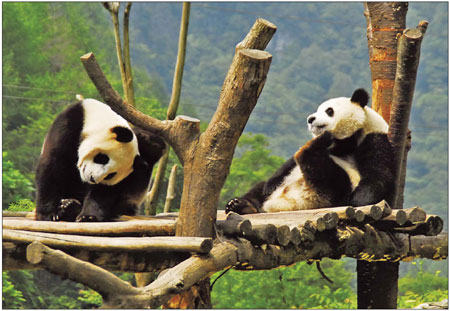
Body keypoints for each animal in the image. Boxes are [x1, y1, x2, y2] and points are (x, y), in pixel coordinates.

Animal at [34, 98, 165, 223]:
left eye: (110, 175)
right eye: (102, 158)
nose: (92, 178)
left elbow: (104, 190)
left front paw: (88, 216)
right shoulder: (69, 125)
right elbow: (53, 165)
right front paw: (49, 214)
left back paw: (71, 206)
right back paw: (67, 205)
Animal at [225, 88, 394, 214]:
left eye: (329, 110)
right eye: (317, 110)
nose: (310, 119)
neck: (345, 142)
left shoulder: (373, 139)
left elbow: (377, 175)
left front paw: (358, 201)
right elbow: (287, 165)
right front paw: (271, 184)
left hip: (330, 192)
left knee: (325, 172)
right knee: (258, 189)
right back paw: (241, 205)